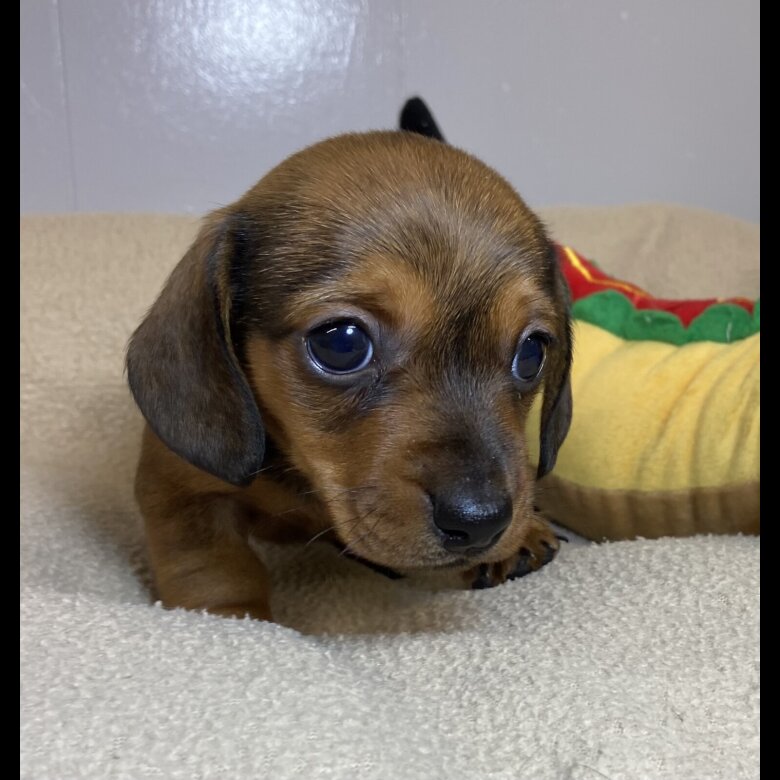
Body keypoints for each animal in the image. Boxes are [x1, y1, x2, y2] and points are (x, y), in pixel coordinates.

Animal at [126, 101, 572, 622]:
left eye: (532, 352)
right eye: (341, 344)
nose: (481, 522)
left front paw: (524, 531)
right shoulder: (179, 492)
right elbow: (214, 567)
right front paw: (234, 621)